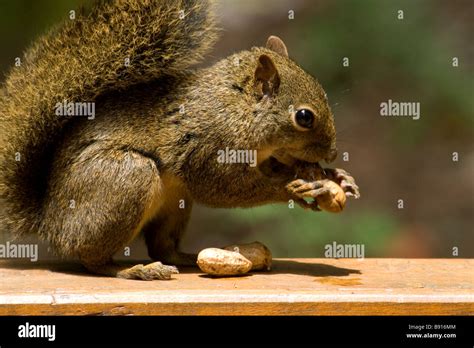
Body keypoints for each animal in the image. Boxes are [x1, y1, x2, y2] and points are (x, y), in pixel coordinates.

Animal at [0, 0, 360, 278]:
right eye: (304, 117)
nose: (332, 153)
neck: (238, 107)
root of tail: (50, 221)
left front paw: (334, 177)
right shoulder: (210, 147)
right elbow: (222, 187)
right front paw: (290, 187)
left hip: (175, 202)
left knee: (163, 247)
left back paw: (186, 258)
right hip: (127, 177)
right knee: (92, 259)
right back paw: (132, 270)